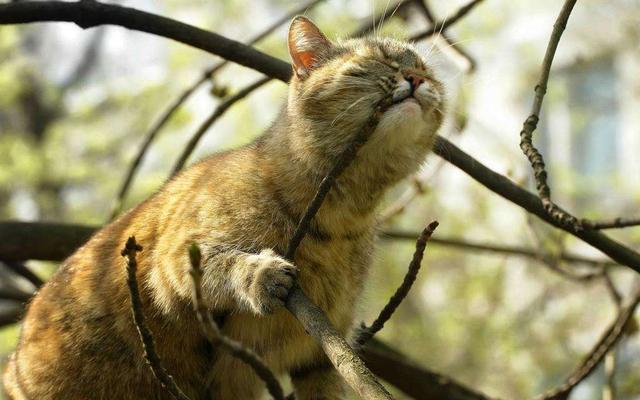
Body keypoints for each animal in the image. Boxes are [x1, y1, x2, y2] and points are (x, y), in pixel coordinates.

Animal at [3, 15, 444, 400]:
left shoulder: (320, 356)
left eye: (427, 70)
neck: (343, 213)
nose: (418, 79)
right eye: (378, 60)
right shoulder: (171, 259)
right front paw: (261, 274)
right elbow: (224, 263)